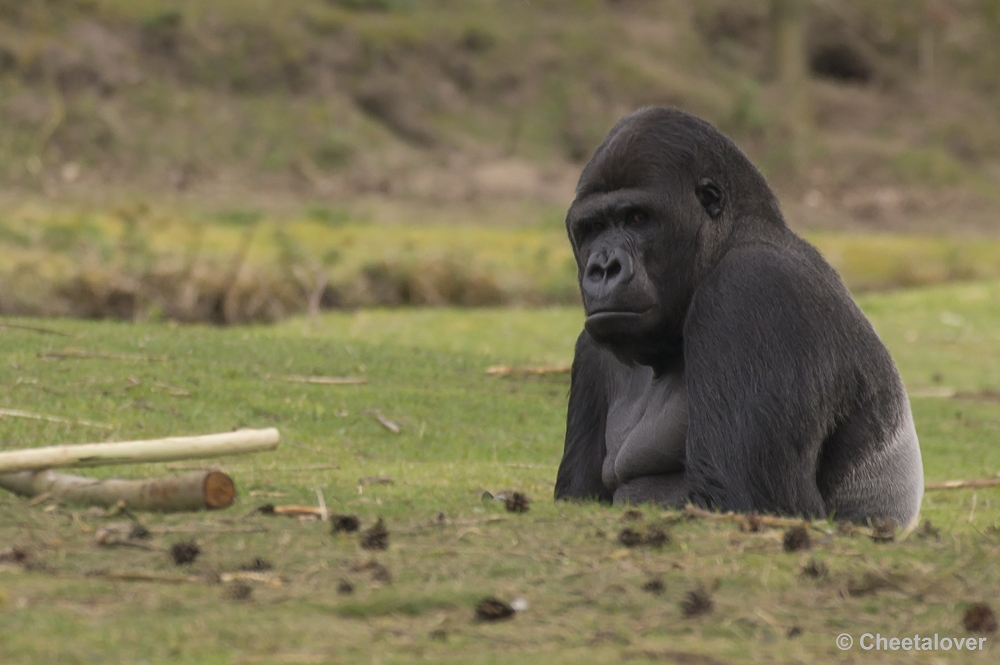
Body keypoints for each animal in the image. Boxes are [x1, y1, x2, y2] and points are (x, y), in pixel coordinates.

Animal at [556, 106, 920, 528]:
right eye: (593, 227)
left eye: (636, 218)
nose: (603, 268)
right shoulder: (592, 349)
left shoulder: (749, 288)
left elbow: (741, 501)